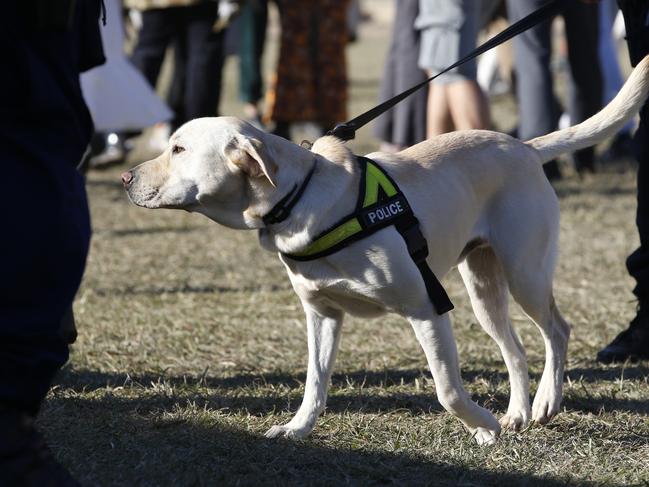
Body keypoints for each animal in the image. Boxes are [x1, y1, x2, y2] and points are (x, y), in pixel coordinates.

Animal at [121, 55, 648, 444]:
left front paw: (482, 427)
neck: (301, 200)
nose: (125, 178)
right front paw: (296, 429)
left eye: (179, 150)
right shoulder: (322, 314)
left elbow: (446, 390)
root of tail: (524, 146)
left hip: (525, 273)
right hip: (484, 286)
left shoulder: (427, 307)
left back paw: (544, 403)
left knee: (556, 330)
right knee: (515, 350)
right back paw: (517, 412)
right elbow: (315, 382)